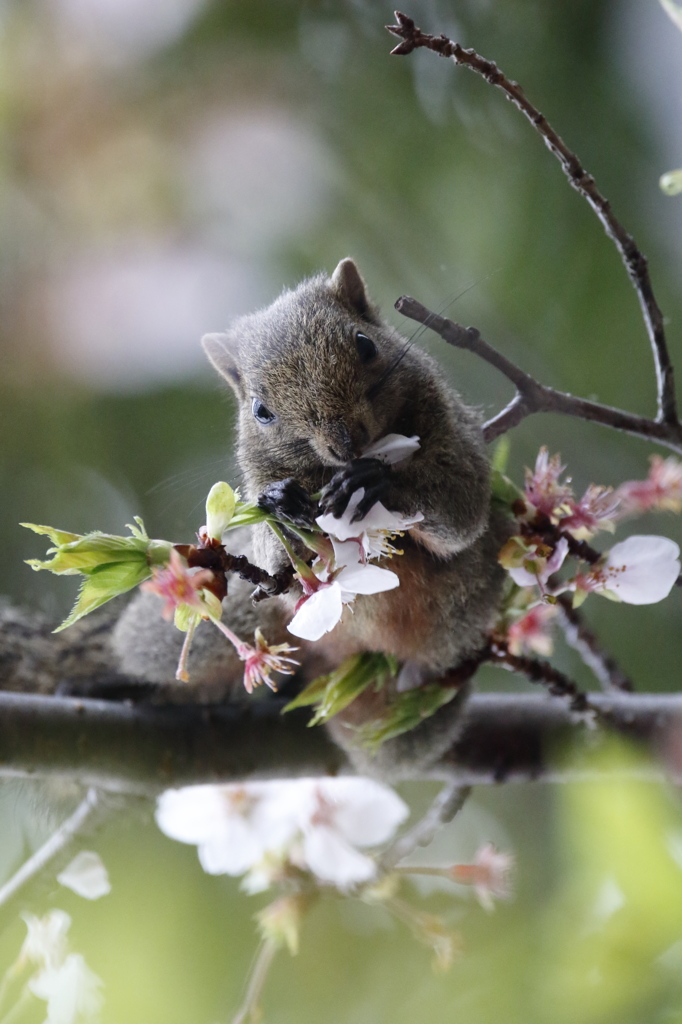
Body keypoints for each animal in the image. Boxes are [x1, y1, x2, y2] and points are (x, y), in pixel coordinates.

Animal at [111, 260, 507, 770]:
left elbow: (460, 509)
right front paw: (281, 501)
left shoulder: (454, 434)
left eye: (365, 344)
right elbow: (275, 555)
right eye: (260, 410)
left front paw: (378, 482)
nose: (346, 442)